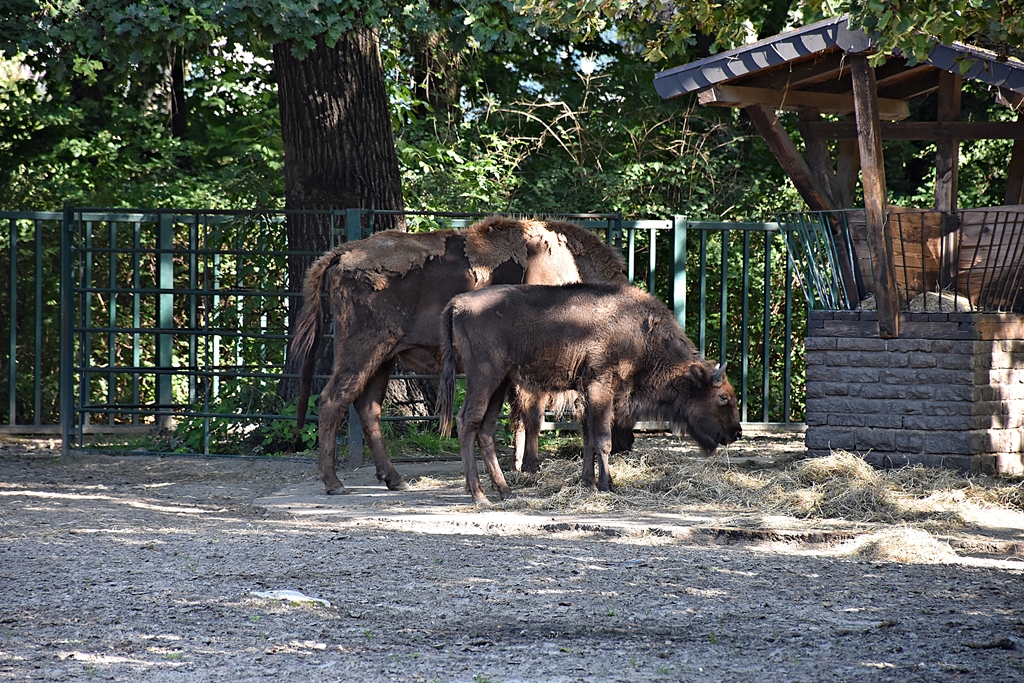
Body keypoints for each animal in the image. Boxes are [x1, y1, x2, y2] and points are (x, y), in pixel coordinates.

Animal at [291, 216, 626, 495]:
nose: (626, 443)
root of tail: (345, 253)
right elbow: (532, 414)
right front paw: (529, 466)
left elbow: (521, 415)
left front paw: (519, 465)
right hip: (362, 349)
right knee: (332, 400)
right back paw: (334, 483)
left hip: (383, 359)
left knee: (368, 408)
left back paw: (394, 479)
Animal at [438, 283, 742, 504]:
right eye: (722, 398)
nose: (736, 432)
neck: (641, 332)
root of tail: (457, 303)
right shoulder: (600, 387)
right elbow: (603, 440)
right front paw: (607, 485)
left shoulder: (585, 394)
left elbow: (588, 438)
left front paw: (587, 483)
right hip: (484, 376)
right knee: (467, 421)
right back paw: (479, 495)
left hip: (500, 382)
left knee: (486, 428)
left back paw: (504, 491)